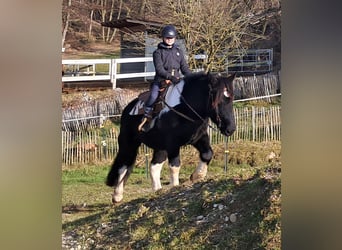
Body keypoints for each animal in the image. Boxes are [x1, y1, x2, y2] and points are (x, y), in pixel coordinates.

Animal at [106, 72, 235, 201]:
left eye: (231, 99)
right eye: (218, 101)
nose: (230, 129)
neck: (184, 109)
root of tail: (127, 109)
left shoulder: (199, 137)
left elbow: (207, 154)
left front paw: (197, 176)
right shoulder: (172, 144)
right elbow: (175, 166)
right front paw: (175, 187)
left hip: (159, 147)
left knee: (154, 166)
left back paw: (158, 190)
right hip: (129, 144)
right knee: (123, 166)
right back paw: (117, 196)